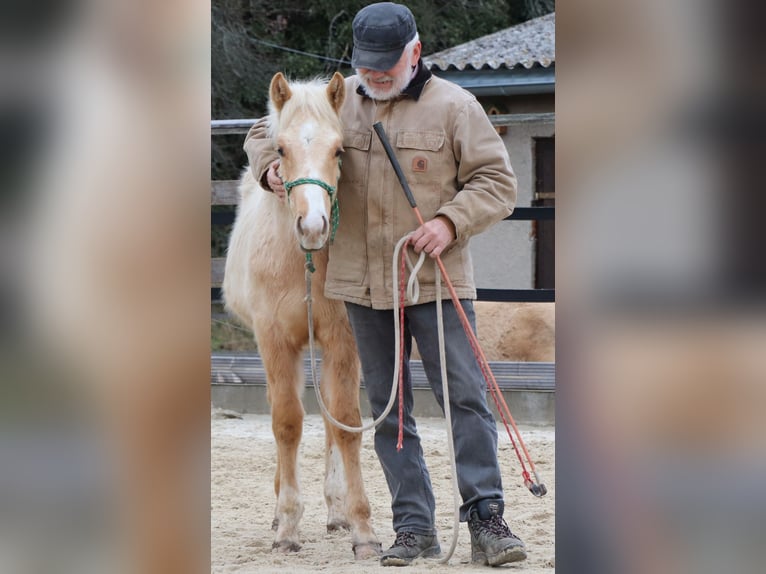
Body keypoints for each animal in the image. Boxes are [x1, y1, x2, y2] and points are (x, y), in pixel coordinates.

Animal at [222, 72, 381, 559]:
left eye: (339, 150)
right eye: (282, 150)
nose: (313, 228)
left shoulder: (343, 340)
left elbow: (345, 425)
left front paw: (361, 528)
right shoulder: (274, 341)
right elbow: (287, 423)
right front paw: (288, 526)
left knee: (331, 419)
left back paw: (335, 511)